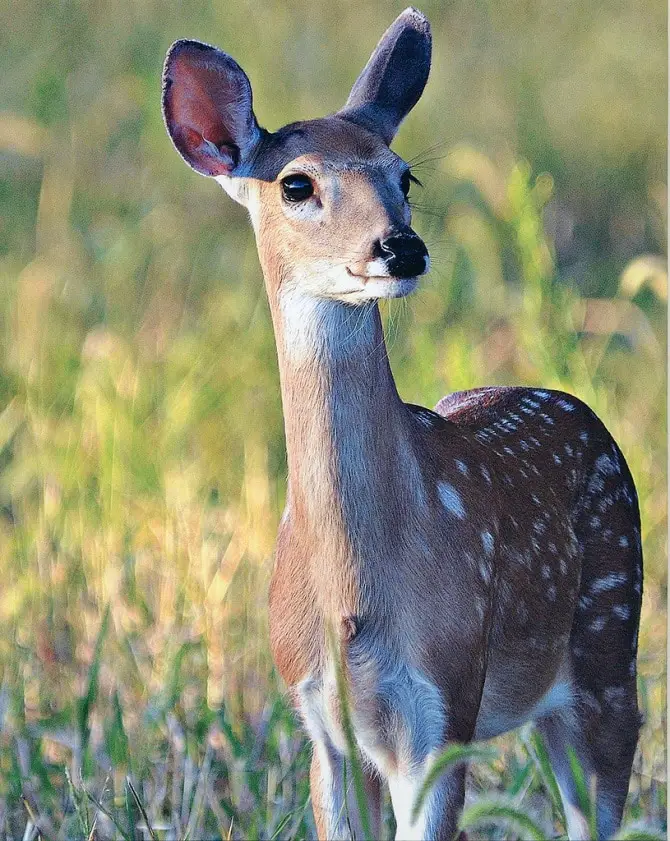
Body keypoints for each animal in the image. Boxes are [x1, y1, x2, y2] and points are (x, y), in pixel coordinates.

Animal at [163, 8, 644, 840]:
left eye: (404, 177)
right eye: (296, 183)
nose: (401, 245)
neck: (354, 590)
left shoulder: (443, 706)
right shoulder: (323, 721)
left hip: (612, 640)